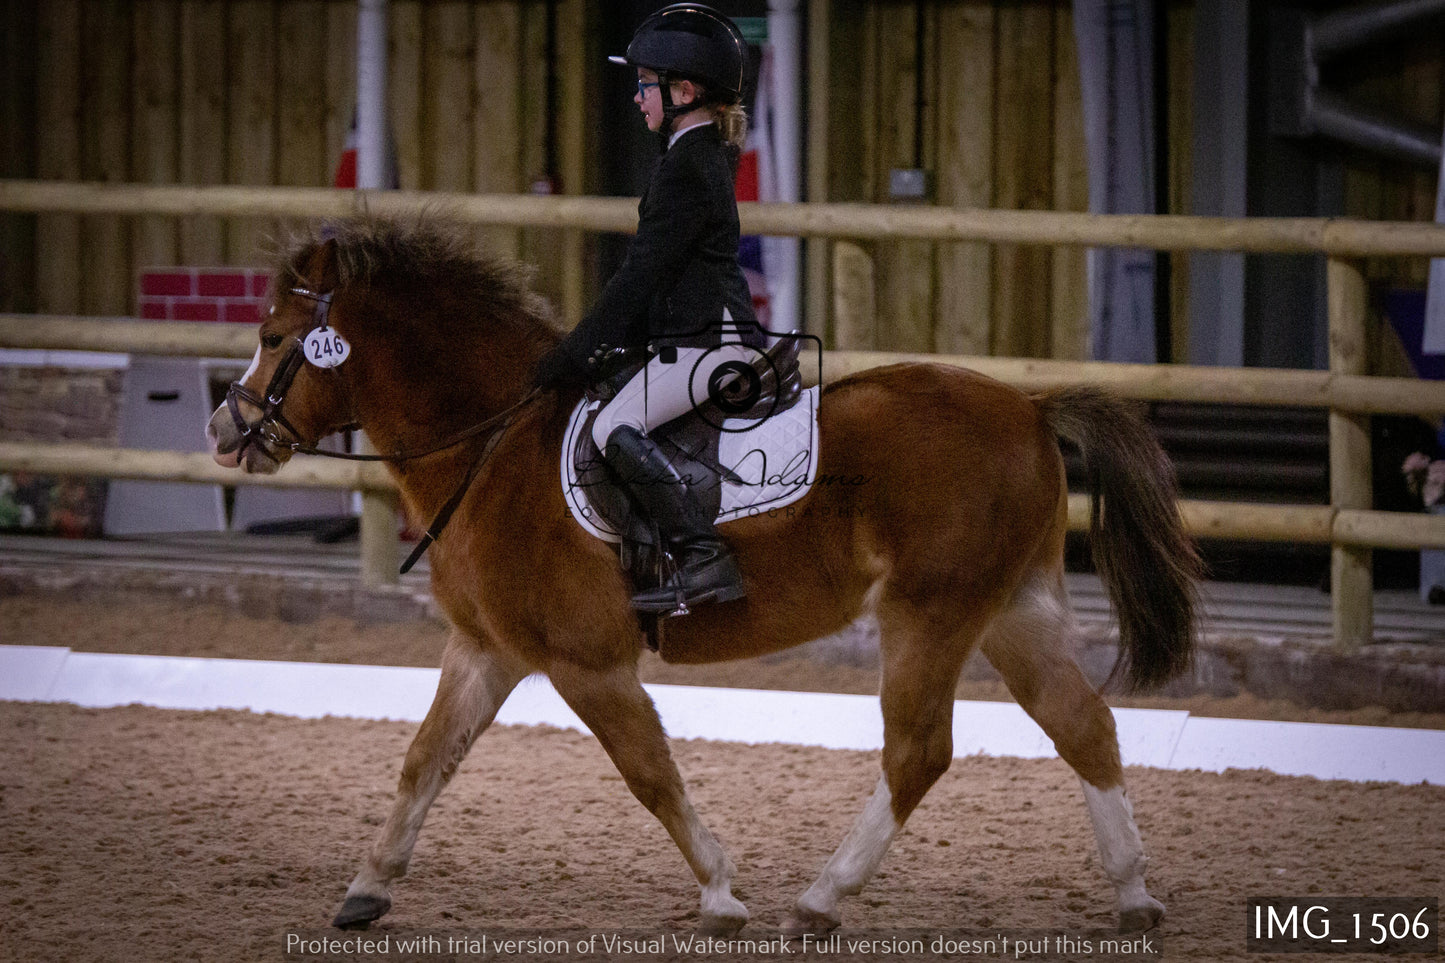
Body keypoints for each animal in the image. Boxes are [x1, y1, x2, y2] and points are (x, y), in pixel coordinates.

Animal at [203, 216, 1196, 931]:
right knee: (1082, 724)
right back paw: (1134, 897)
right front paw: (366, 889)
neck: (493, 443)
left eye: (274, 335)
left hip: (931, 612)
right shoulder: (487, 649)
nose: (224, 428)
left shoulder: (585, 662)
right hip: (1010, 608)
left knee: (919, 750)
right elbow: (423, 760)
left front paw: (721, 894)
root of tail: (1028, 405)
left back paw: (819, 899)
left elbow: (649, 771)